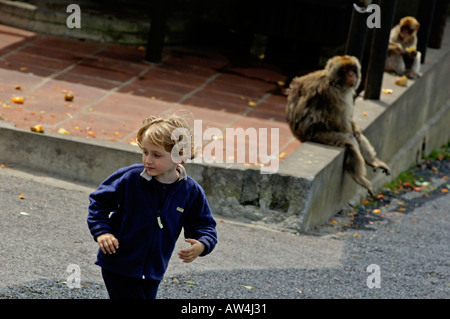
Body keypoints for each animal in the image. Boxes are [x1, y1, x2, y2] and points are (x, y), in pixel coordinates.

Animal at [288, 55, 390, 195]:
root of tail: (298, 134)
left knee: (356, 138)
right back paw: (357, 176)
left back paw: (372, 161)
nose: (352, 75)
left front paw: (356, 128)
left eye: (352, 69)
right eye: (346, 70)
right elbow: (341, 124)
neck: (334, 82)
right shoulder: (334, 95)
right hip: (319, 135)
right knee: (350, 141)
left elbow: (350, 124)